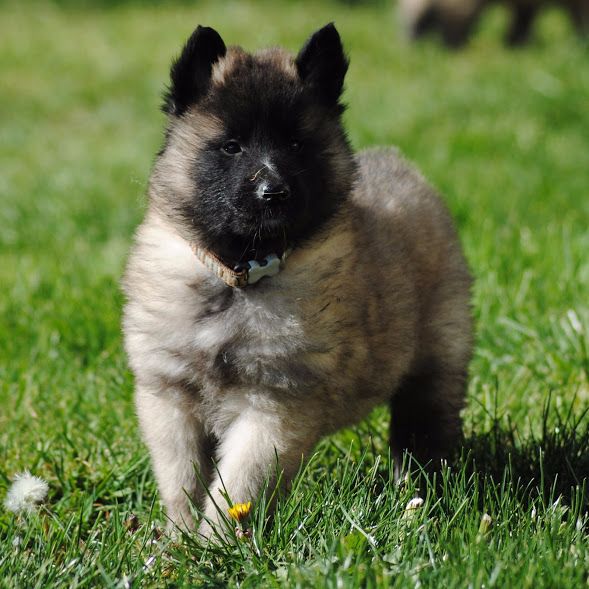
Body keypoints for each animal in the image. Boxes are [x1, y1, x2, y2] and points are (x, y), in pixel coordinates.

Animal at [122, 23, 473, 538]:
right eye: (232, 146)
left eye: (295, 145)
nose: (274, 192)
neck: (240, 277)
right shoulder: (169, 396)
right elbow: (182, 481)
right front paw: (180, 540)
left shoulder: (274, 405)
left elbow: (236, 487)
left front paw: (216, 543)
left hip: (435, 361)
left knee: (423, 430)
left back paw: (419, 494)